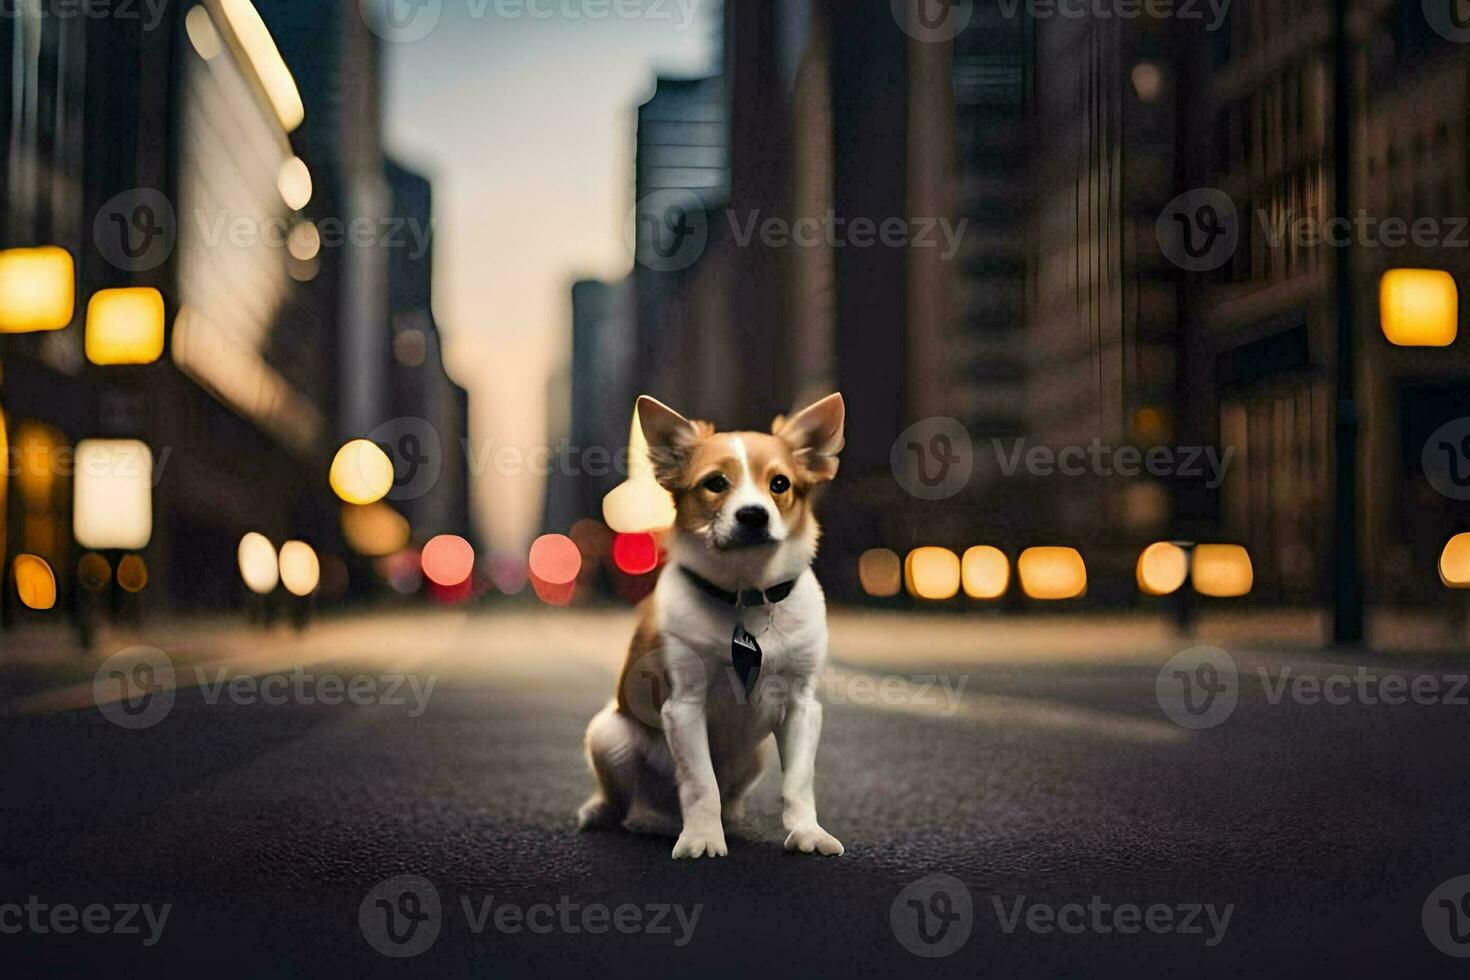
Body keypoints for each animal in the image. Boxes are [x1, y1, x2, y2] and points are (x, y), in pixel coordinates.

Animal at [576, 390, 852, 858]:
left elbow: (798, 782)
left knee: (730, 795)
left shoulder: (801, 707)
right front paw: (702, 839)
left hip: (757, 755)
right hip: (607, 735)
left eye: (780, 484)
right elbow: (700, 782)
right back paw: (607, 813)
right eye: (716, 484)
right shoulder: (684, 706)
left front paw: (807, 833)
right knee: (624, 797)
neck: (746, 594)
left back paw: (732, 816)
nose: (754, 515)